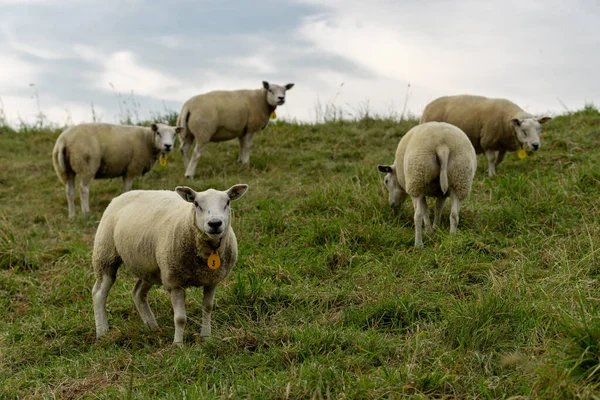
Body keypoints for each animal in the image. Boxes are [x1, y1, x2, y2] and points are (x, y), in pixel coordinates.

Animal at [51, 123, 183, 220]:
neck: (147, 140)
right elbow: (127, 190)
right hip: (87, 164)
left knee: (69, 191)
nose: (168, 146)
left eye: (174, 134)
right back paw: (86, 213)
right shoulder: (131, 169)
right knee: (83, 189)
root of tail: (64, 140)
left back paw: (72, 215)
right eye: (158, 133)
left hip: (66, 169)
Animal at [91, 184, 248, 344]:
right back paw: (102, 331)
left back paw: (152, 326)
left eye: (227, 202)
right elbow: (180, 318)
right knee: (99, 293)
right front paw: (178, 344)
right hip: (105, 254)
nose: (215, 223)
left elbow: (208, 309)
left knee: (138, 293)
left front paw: (206, 337)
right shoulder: (175, 282)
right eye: (196, 204)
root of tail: (122, 195)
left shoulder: (211, 280)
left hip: (150, 266)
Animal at [420, 95, 552, 177]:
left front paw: (490, 170)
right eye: (524, 131)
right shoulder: (488, 141)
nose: (535, 145)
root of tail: (428, 105)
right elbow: (492, 159)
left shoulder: (502, 144)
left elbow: (499, 159)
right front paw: (491, 174)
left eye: (540, 130)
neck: (507, 121)